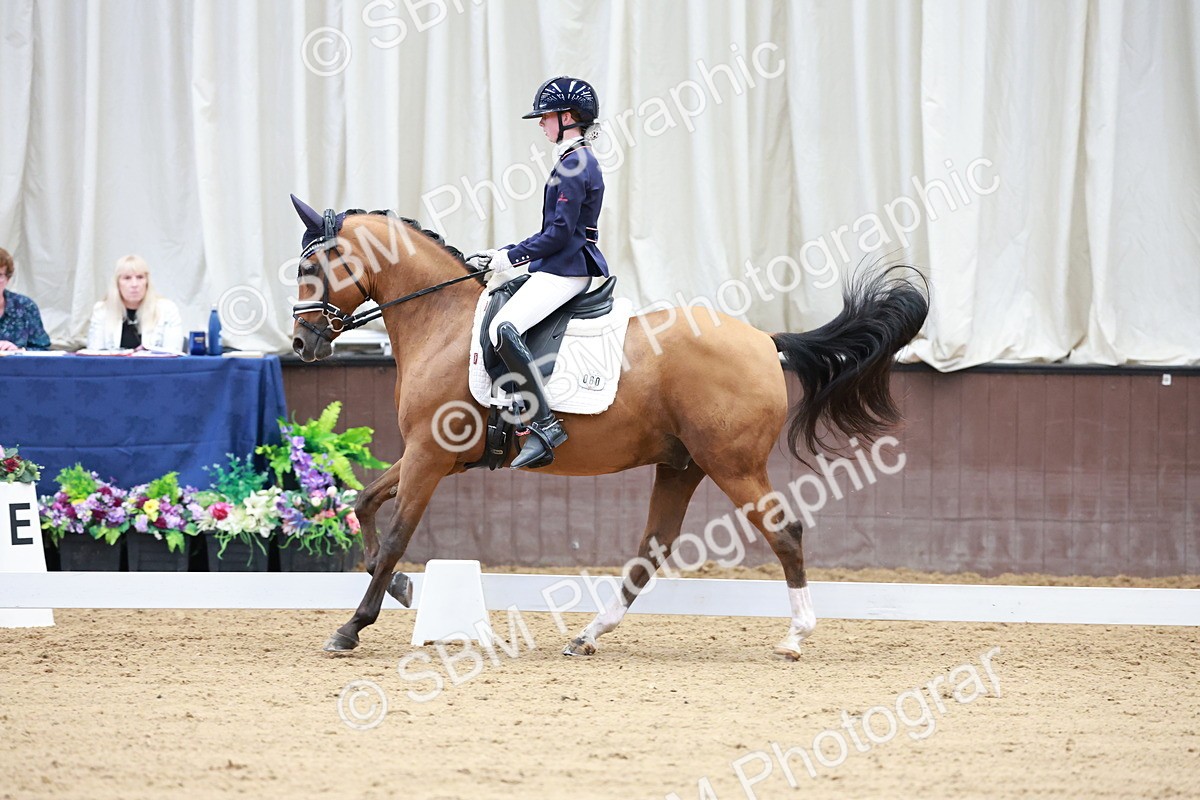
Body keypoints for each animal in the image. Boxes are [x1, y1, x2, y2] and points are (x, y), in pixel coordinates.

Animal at [287, 198, 929, 660]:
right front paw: (398, 589)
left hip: (733, 464)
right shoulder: (427, 451)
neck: (441, 323)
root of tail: (765, 342)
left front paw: (352, 626)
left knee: (784, 532)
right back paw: (587, 635)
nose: (301, 343)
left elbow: (397, 533)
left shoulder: (429, 454)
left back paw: (795, 637)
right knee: (652, 549)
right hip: (681, 464)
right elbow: (364, 502)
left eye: (310, 267)